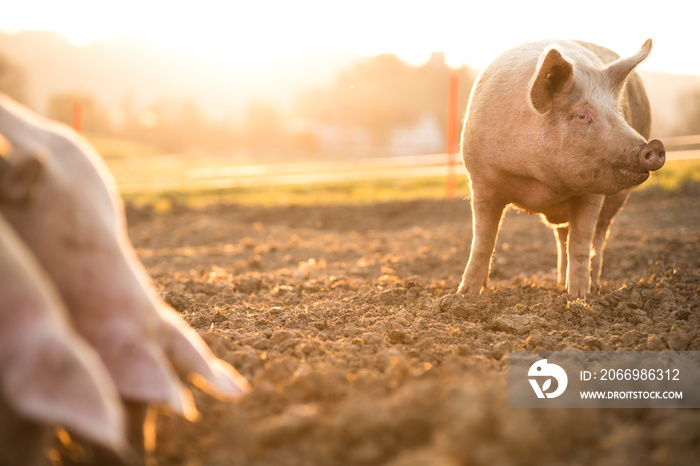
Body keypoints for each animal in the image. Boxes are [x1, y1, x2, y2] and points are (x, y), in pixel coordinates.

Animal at [456, 38, 664, 296]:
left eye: (618, 113)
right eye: (582, 116)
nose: (654, 146)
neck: (538, 180)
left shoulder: (593, 192)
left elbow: (581, 244)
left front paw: (578, 297)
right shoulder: (481, 180)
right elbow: (483, 241)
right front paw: (464, 294)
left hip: (615, 202)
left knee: (597, 236)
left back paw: (589, 287)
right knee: (563, 235)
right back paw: (557, 284)